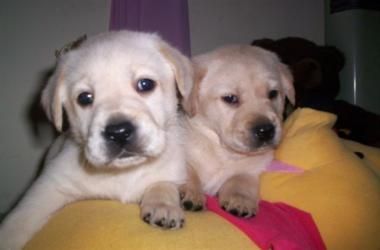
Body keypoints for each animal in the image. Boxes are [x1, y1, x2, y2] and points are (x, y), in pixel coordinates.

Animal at [0, 29, 193, 250]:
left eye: (145, 84)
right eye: (84, 98)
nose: (119, 132)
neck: (124, 173)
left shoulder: (172, 172)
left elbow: (163, 183)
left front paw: (163, 205)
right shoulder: (49, 186)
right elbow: (19, 221)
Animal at [180, 46, 296, 218]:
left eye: (273, 93)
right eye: (230, 98)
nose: (265, 130)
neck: (224, 153)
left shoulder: (252, 169)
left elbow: (241, 179)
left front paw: (240, 200)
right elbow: (186, 171)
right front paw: (190, 192)